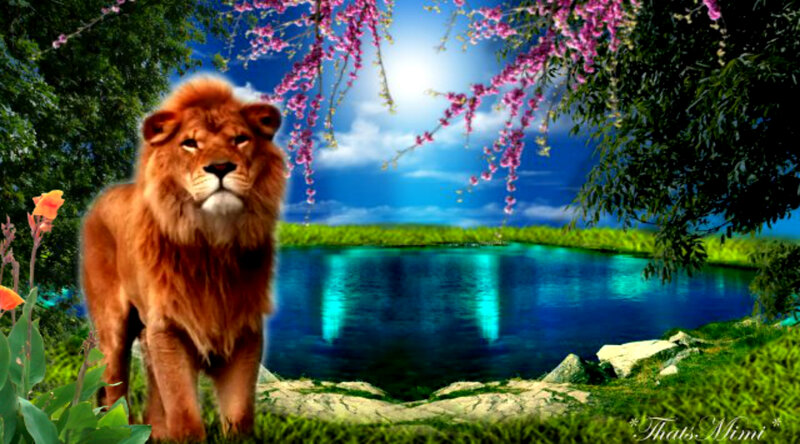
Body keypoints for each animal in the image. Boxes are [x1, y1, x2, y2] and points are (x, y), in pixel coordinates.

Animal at [80, 76, 286, 441]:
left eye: (240, 139)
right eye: (189, 143)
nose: (221, 167)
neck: (212, 244)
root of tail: (101, 197)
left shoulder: (245, 329)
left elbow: (238, 413)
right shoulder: (169, 328)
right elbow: (184, 411)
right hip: (113, 329)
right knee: (115, 391)